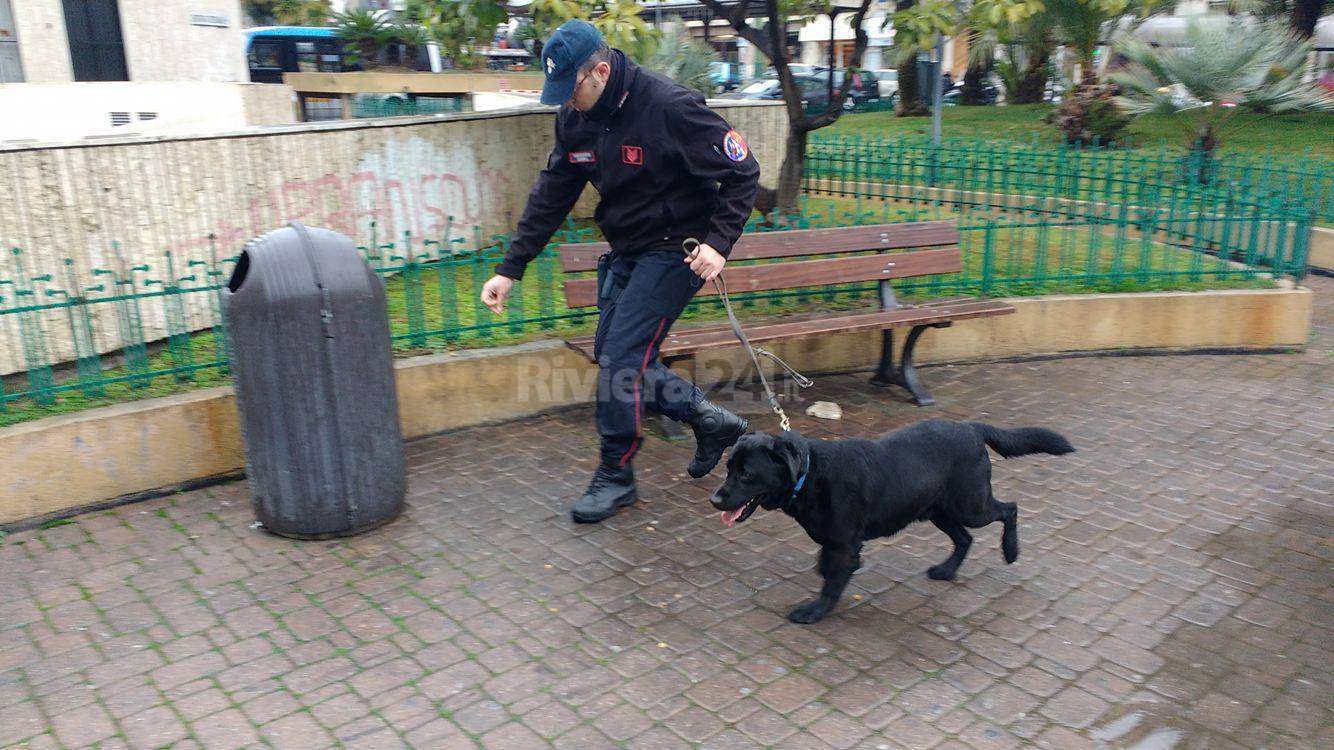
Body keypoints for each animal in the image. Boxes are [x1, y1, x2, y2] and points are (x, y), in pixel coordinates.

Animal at [709, 416, 1072, 621]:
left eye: (746, 474)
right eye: (728, 468)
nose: (715, 499)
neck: (810, 475)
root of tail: (972, 428)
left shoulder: (843, 543)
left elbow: (831, 581)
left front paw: (813, 612)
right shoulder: (836, 543)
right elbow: (827, 568)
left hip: (971, 505)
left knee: (1009, 509)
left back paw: (1011, 551)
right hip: (939, 511)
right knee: (965, 538)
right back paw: (946, 571)